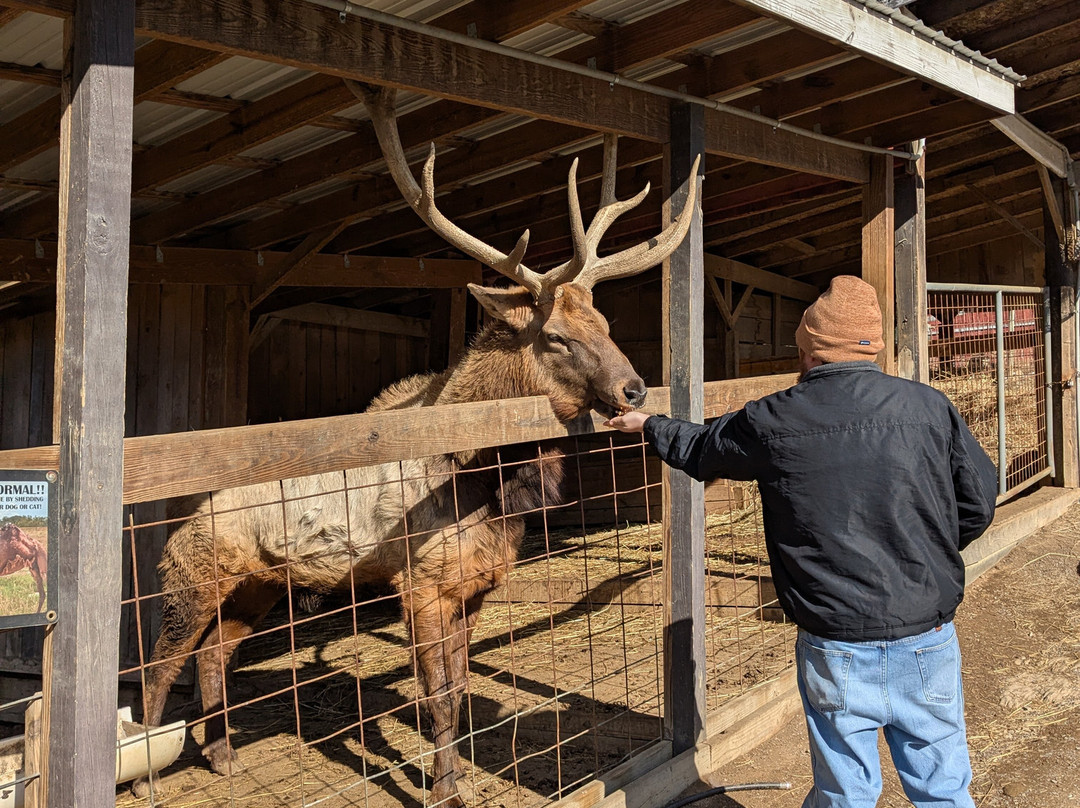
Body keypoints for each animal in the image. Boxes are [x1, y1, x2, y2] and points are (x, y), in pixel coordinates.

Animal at [134, 83, 700, 807]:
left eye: (603, 321)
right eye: (556, 338)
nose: (634, 388)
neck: (486, 483)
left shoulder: (477, 584)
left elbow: (459, 693)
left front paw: (451, 779)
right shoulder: (420, 583)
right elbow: (436, 700)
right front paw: (442, 791)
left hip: (261, 583)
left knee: (214, 652)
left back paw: (224, 753)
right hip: (195, 569)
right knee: (160, 663)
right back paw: (151, 777)